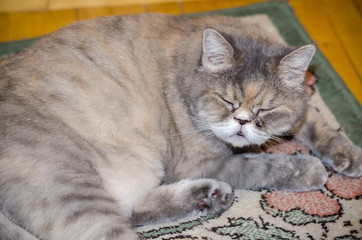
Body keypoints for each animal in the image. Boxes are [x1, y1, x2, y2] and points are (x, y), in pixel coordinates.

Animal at [0, 13, 360, 240]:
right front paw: (309, 168)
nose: (242, 122)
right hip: (75, 192)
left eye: (265, 109)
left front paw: (349, 155)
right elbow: (261, 165)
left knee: (132, 208)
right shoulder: (203, 162)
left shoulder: (298, 116)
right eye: (226, 100)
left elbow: (314, 121)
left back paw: (207, 196)